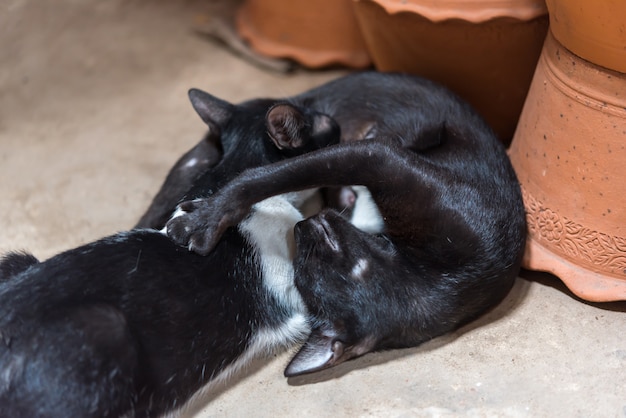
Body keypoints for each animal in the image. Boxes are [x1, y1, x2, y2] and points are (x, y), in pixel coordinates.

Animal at [0, 93, 342, 416]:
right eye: (323, 121)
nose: (336, 122)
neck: (228, 171)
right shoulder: (288, 290)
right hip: (103, 328)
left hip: (19, 259)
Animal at [166, 71, 528, 376]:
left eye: (310, 252)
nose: (305, 223)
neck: (435, 281)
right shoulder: (376, 157)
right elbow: (267, 175)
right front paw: (205, 217)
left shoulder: (377, 159)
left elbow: (262, 176)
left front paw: (203, 219)